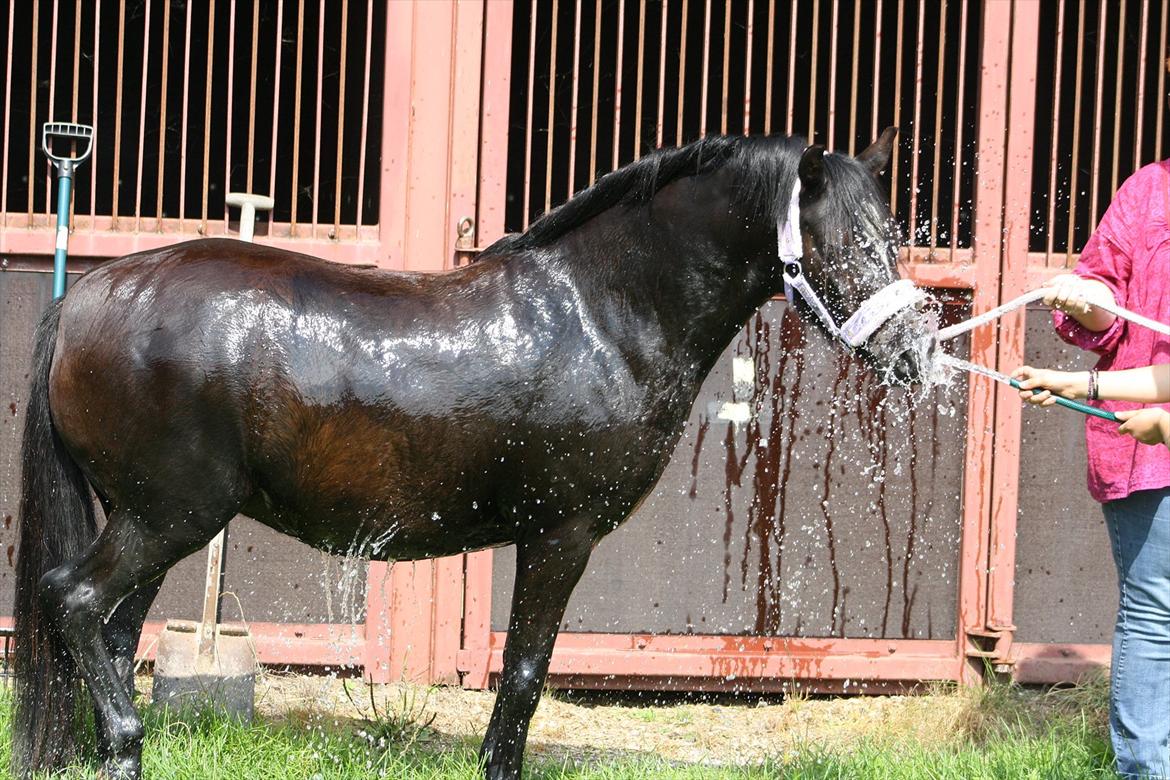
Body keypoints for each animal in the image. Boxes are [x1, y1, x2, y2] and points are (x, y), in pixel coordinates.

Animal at [13, 128, 934, 779]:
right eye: (844, 244)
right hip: (167, 516)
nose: (920, 352)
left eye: (892, 234)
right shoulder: (561, 536)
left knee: (111, 630)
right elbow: (523, 676)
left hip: (152, 520)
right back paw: (125, 743)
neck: (599, 314)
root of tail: (87, 296)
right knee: (76, 601)